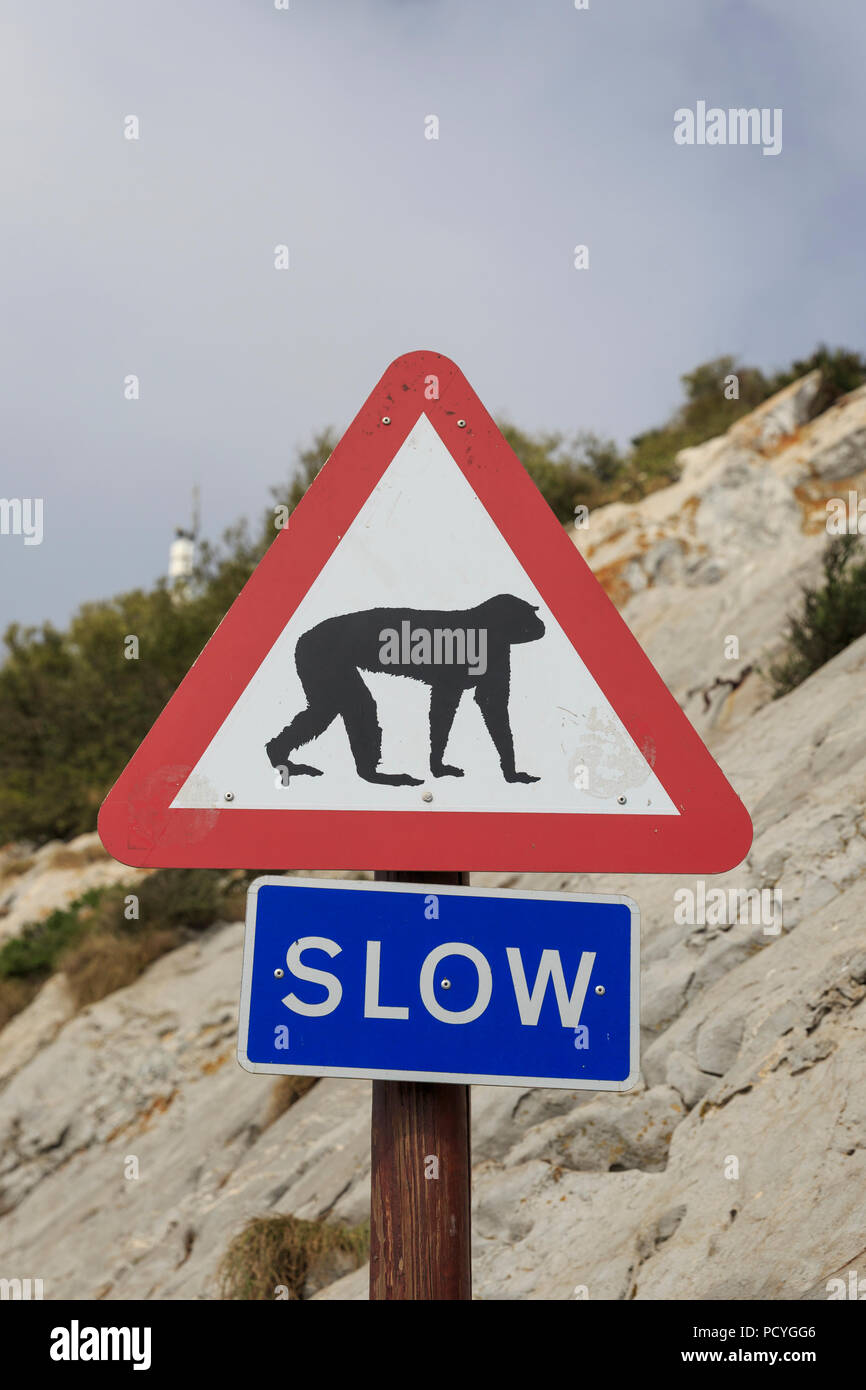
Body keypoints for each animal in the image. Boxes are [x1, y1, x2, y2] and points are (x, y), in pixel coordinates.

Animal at [265, 593, 545, 787]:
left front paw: (510, 772)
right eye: (531, 616)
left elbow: (489, 704)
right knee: (345, 706)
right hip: (321, 658)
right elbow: (450, 705)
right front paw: (438, 767)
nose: (542, 625)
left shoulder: (497, 653)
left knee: (340, 706)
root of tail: (304, 637)